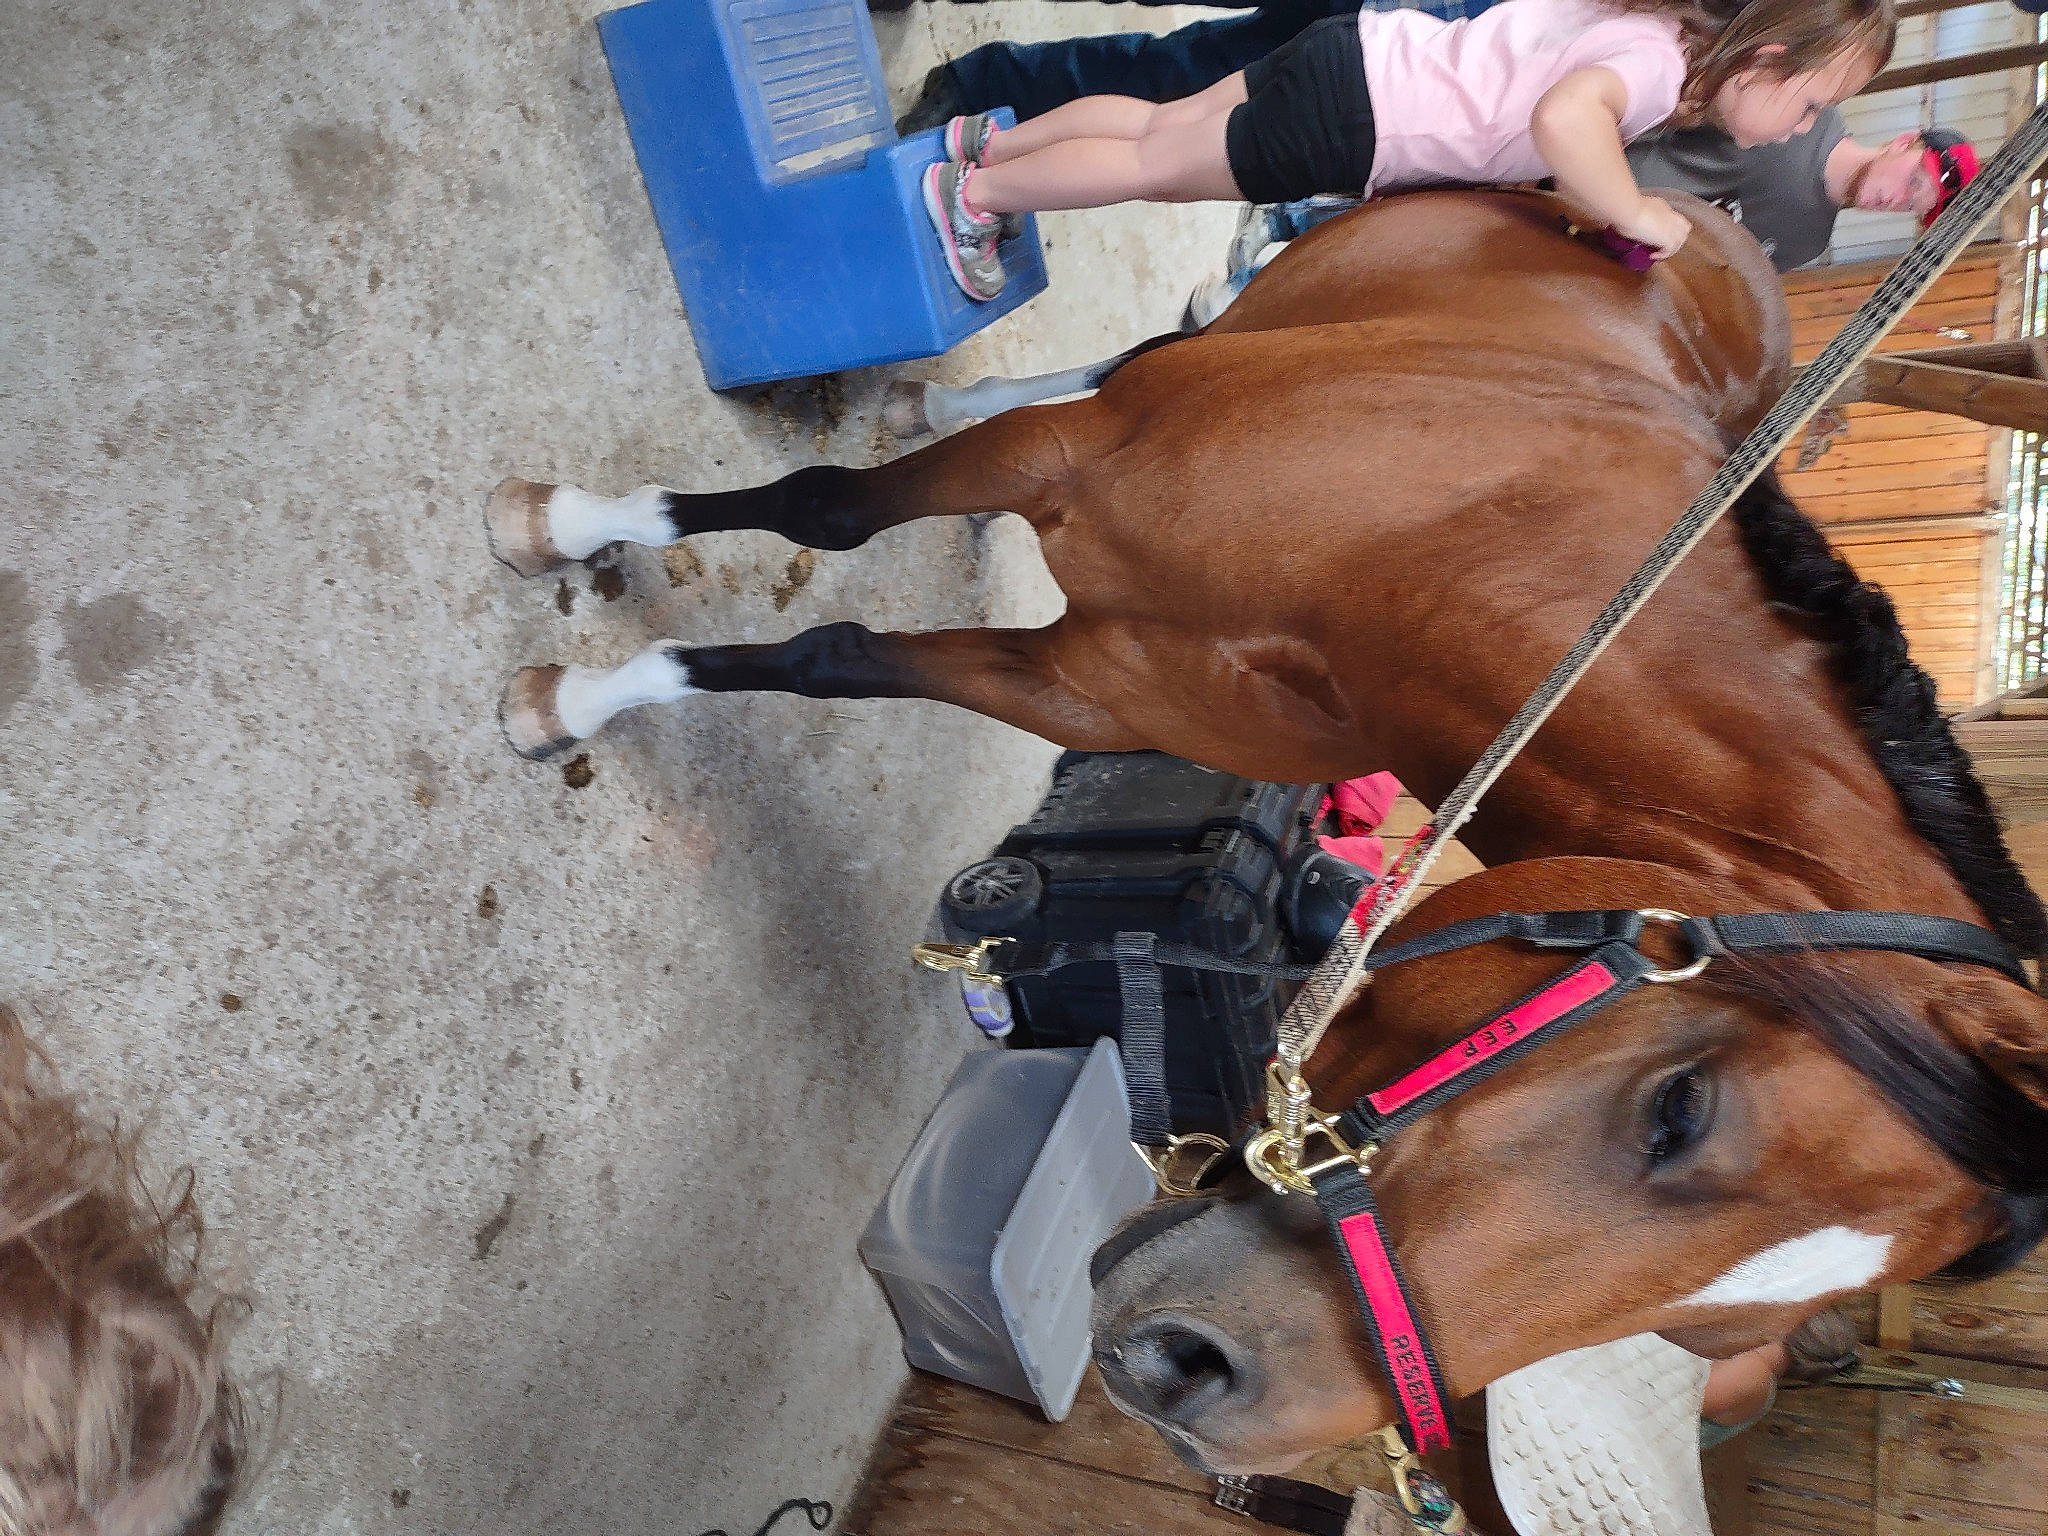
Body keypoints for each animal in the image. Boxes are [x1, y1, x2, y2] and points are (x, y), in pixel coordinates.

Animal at [485, 188, 2048, 1473]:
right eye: (1680, 1111)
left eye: (1709, 1345)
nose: (1192, 1377)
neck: (1452, 538)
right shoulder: (1069, 457)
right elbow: (831, 523)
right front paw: (566, 613)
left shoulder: (1091, 678)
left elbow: (842, 654)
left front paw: (591, 671)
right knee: (1122, 353)